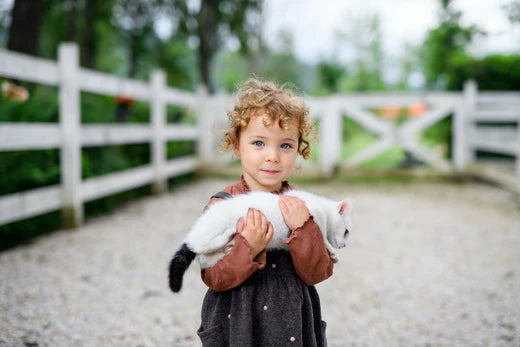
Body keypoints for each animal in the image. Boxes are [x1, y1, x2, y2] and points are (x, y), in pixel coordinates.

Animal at [170, 190, 354, 294]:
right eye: (346, 232)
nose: (344, 245)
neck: (323, 208)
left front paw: (330, 253)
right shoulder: (314, 215)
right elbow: (322, 235)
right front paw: (331, 250)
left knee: (204, 259)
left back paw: (224, 251)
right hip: (214, 227)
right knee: (199, 247)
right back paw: (227, 237)